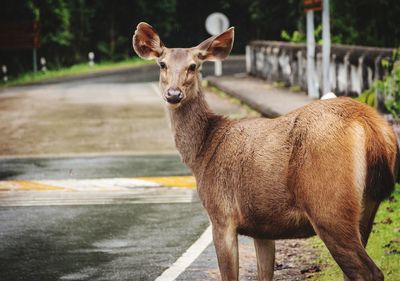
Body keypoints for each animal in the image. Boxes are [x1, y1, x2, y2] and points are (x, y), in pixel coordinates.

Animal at [133, 22, 398, 280]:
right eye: (162, 64)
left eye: (193, 66)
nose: (173, 94)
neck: (203, 153)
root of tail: (369, 123)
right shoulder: (262, 227)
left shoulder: (221, 215)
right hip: (366, 206)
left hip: (328, 204)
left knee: (369, 271)